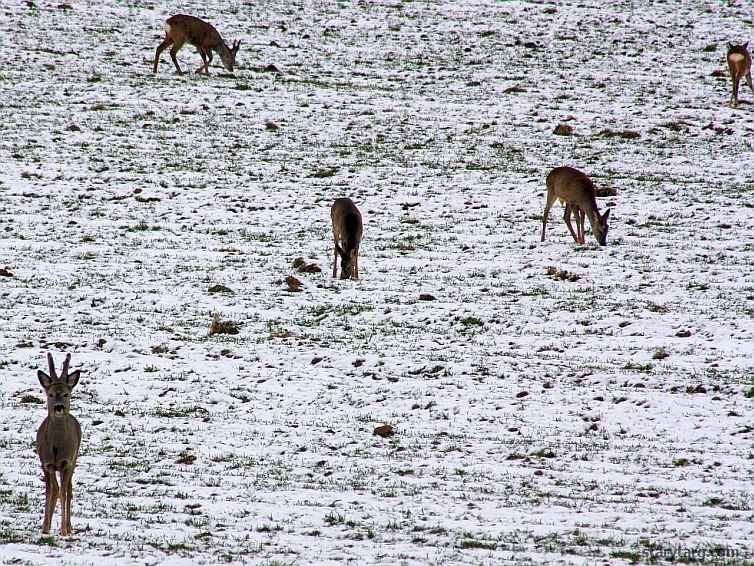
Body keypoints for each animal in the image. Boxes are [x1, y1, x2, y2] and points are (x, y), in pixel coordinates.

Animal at [35, 356, 81, 536]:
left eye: (66, 394)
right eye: (51, 394)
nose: (59, 407)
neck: (56, 446)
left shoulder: (66, 462)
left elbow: (63, 492)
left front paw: (62, 530)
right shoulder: (46, 463)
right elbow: (50, 491)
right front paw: (45, 527)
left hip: (74, 459)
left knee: (68, 489)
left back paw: (68, 526)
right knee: (55, 488)